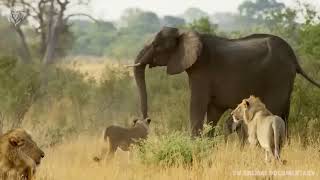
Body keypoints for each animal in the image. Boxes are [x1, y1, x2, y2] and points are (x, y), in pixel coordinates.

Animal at [131, 26, 320, 136]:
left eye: (156, 45)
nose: (145, 120)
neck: (185, 33)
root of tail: (293, 57)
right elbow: (213, 112)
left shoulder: (202, 71)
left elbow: (197, 105)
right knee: (284, 113)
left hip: (278, 76)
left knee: (275, 110)